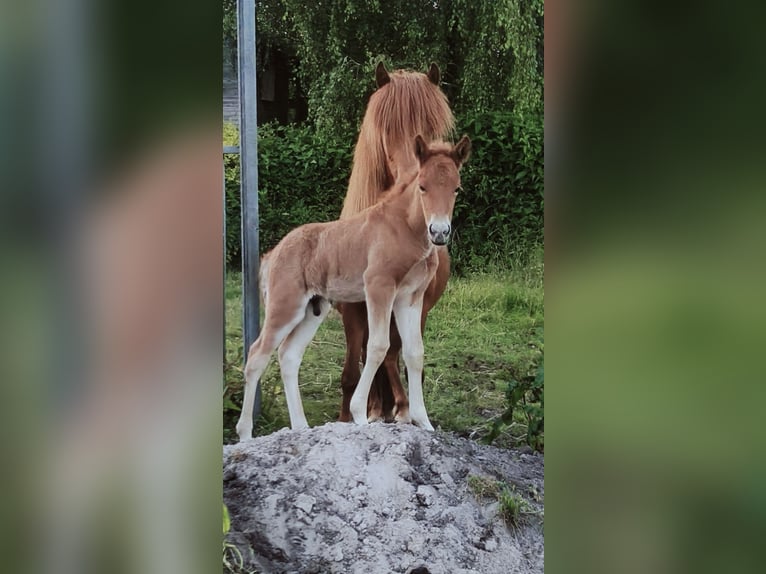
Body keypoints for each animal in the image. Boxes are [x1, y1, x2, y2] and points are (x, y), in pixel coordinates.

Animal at [237, 135, 472, 440]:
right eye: (422, 186)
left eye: (456, 188)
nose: (440, 232)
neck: (405, 230)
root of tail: (272, 254)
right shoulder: (379, 287)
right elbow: (378, 346)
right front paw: (360, 414)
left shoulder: (410, 297)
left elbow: (414, 353)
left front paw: (423, 421)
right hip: (285, 306)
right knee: (257, 355)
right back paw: (245, 434)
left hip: (313, 309)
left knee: (288, 355)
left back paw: (301, 427)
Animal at [338, 63, 456, 426]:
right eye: (386, 128)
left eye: (433, 127)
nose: (414, 179)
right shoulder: (353, 310)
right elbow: (353, 370)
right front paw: (349, 416)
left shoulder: (417, 303)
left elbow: (397, 354)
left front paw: (402, 409)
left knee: (394, 353)